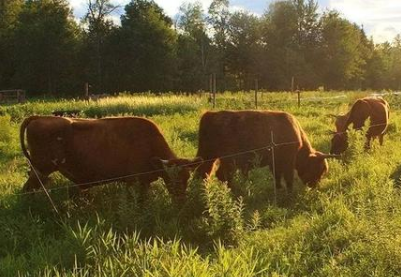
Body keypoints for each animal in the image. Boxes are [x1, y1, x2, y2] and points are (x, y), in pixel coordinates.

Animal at [20, 115, 200, 201]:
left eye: (187, 178)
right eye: (171, 178)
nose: (181, 200)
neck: (150, 144)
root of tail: (40, 117)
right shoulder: (136, 181)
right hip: (41, 169)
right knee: (27, 189)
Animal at [194, 110, 334, 190]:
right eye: (318, 169)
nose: (314, 186)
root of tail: (211, 114)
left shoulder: (275, 163)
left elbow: (277, 176)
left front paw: (279, 188)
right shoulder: (287, 162)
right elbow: (288, 178)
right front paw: (289, 192)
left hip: (209, 157)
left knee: (204, 172)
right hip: (227, 161)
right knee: (222, 175)